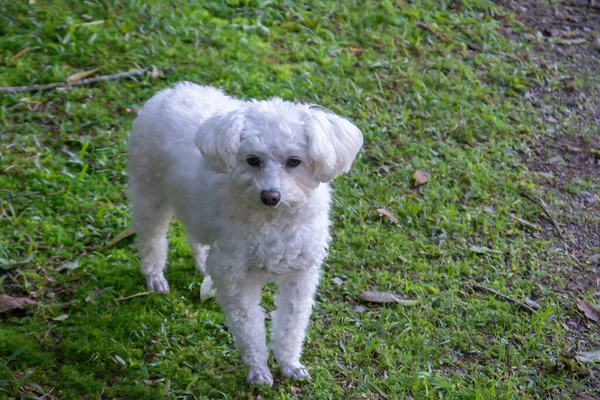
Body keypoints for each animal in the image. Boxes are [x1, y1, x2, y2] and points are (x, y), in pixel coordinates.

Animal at [129, 83, 364, 386]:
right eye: (252, 160)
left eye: (294, 161)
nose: (270, 196)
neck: (275, 221)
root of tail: (171, 91)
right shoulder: (236, 278)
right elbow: (248, 327)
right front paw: (258, 370)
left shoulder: (301, 274)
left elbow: (291, 324)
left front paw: (290, 364)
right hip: (149, 190)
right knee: (151, 236)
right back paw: (154, 276)